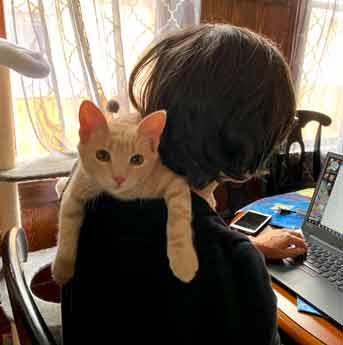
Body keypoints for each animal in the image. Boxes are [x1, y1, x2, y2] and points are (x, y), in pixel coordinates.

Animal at [52, 100, 200, 284]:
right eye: (102, 155)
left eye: (137, 159)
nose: (119, 178)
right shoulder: (78, 186)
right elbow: (66, 224)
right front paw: (62, 267)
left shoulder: (175, 181)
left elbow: (179, 217)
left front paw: (183, 259)